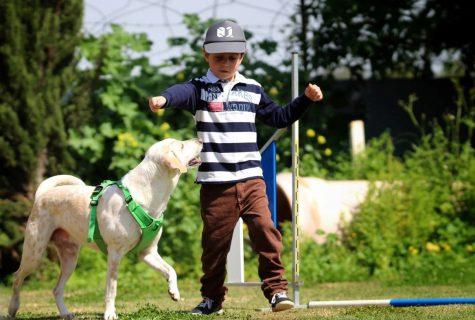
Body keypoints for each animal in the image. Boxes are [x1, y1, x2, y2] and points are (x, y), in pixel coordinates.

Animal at [7, 138, 203, 320]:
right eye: (181, 145)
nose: (200, 140)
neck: (144, 197)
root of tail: (41, 195)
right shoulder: (115, 254)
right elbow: (111, 289)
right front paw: (109, 314)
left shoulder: (147, 252)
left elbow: (171, 270)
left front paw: (174, 292)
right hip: (34, 253)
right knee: (17, 277)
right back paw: (12, 309)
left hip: (70, 258)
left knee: (56, 289)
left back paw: (65, 313)